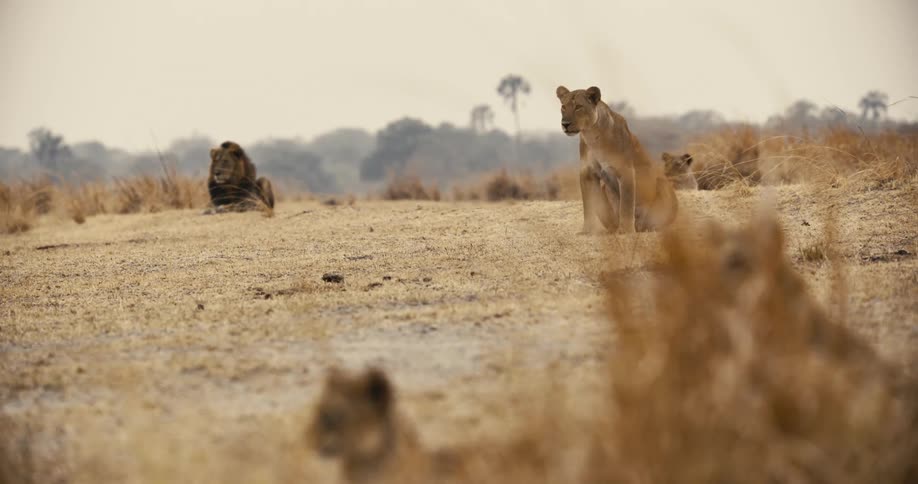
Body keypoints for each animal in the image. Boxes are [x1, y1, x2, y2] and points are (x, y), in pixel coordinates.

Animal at [556, 86, 677, 233]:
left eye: (578, 107)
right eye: (563, 107)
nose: (565, 124)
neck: (592, 135)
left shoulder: (625, 171)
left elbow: (626, 204)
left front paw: (626, 230)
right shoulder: (587, 173)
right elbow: (589, 205)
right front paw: (587, 230)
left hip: (662, 185)